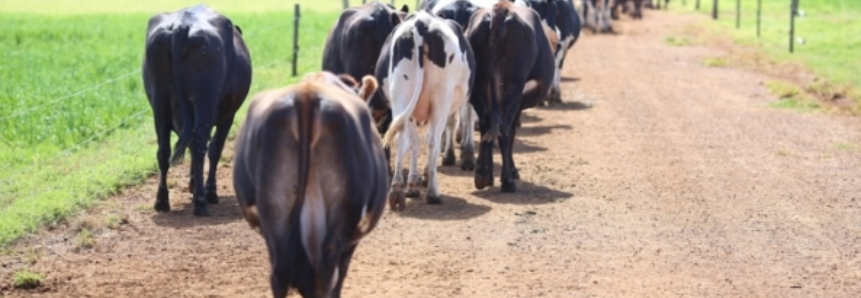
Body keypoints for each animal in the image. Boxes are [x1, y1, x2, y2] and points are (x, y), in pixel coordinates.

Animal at [144, 3, 252, 215]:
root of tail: (181, 25)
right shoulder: (228, 115)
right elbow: (215, 149)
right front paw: (209, 191)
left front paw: (193, 184)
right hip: (205, 105)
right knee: (202, 145)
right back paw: (201, 202)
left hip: (159, 106)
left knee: (164, 151)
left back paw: (162, 201)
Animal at [372, 11, 474, 211]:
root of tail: (422, 22)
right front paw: (426, 176)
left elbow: (413, 142)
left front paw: (413, 184)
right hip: (440, 99)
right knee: (432, 140)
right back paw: (433, 193)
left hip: (401, 96)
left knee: (401, 139)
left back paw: (397, 189)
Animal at [466, 0, 556, 192]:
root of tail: (500, 10)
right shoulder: (519, 101)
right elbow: (512, 132)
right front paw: (512, 171)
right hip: (513, 87)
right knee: (504, 130)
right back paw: (507, 180)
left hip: (478, 84)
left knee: (486, 123)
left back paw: (482, 175)